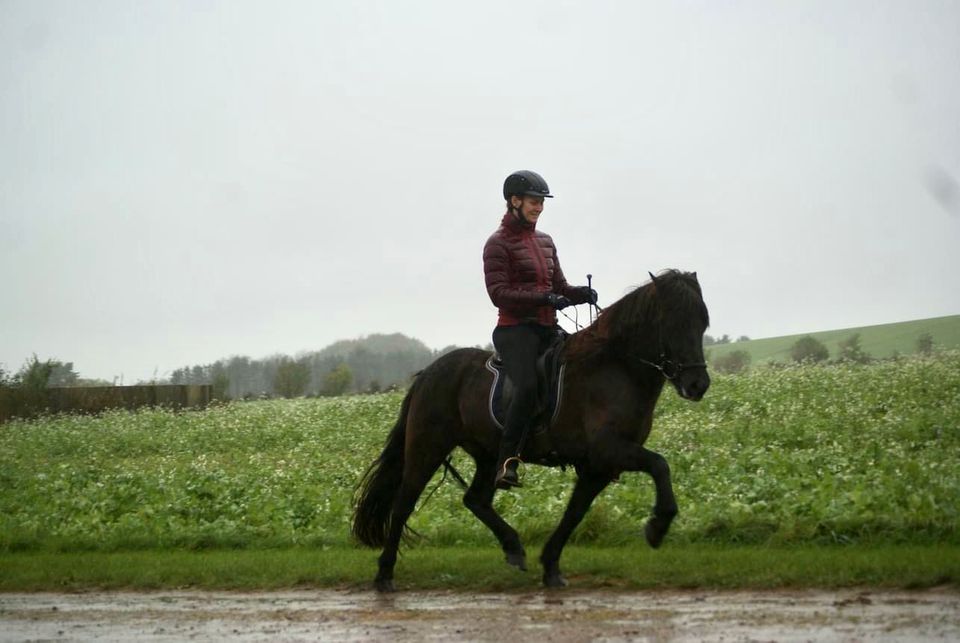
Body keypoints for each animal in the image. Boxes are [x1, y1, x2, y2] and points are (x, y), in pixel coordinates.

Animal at [348, 270, 708, 592]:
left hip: (488, 454)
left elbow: (575, 513)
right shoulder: (609, 449)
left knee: (475, 499)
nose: (698, 385)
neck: (614, 367)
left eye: (703, 323)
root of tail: (429, 372)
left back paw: (513, 547)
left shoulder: (598, 465)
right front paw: (658, 526)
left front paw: (550, 567)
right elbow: (660, 465)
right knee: (403, 503)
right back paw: (384, 575)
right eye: (674, 323)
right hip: (428, 447)